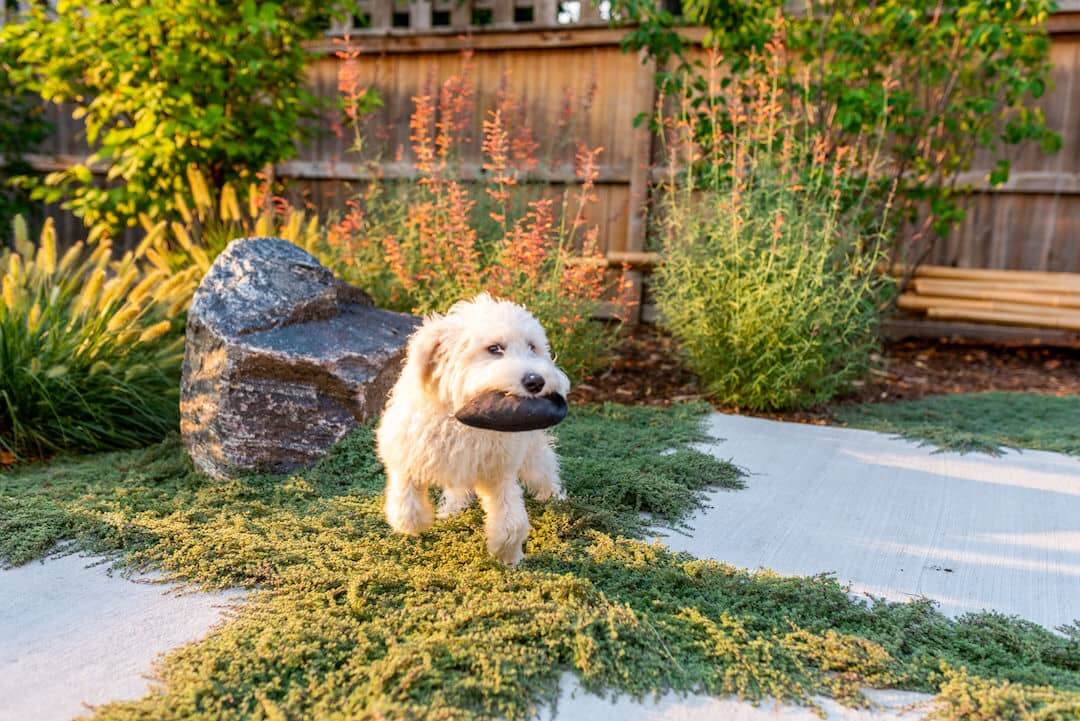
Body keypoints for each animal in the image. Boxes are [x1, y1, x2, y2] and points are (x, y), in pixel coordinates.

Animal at [375, 291, 570, 561]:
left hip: (533, 453)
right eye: (494, 348)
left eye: (532, 347)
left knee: (544, 470)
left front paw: (508, 555)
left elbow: (510, 520)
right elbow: (406, 499)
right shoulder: (408, 452)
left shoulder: (499, 471)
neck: (462, 421)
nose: (536, 381)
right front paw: (414, 525)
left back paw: (554, 497)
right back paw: (453, 507)